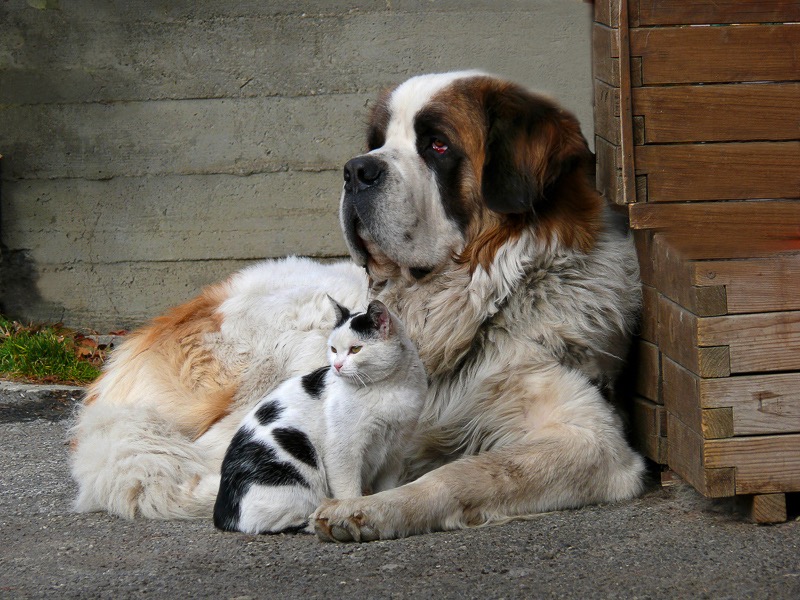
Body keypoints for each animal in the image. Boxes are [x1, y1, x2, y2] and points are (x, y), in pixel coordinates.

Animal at [211, 298, 424, 536]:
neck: (388, 388)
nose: (337, 366)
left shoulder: (395, 451)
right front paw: (347, 512)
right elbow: (348, 491)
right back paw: (318, 523)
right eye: (333, 349)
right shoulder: (343, 451)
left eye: (356, 349)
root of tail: (223, 515)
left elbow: (387, 489)